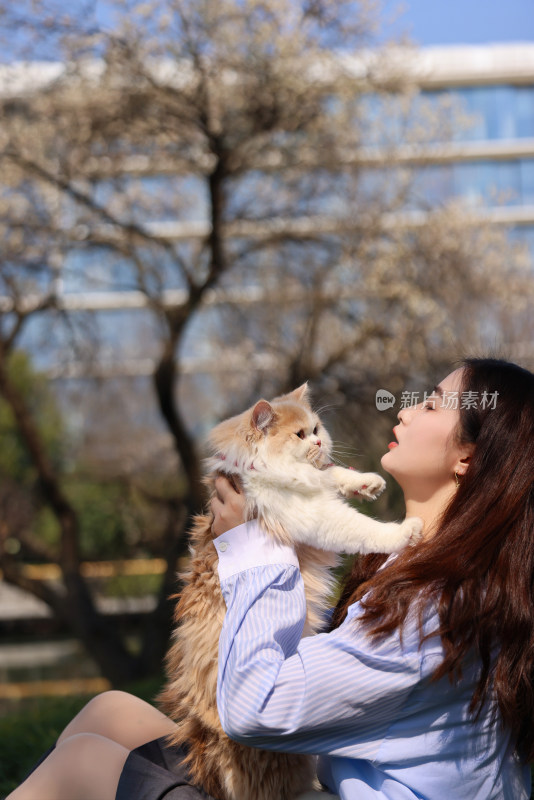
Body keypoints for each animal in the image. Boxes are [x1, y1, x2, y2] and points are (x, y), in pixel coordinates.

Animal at [159, 384, 422, 796]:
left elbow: (332, 474)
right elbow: (363, 527)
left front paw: (365, 482)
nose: (318, 440)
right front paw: (403, 532)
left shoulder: (316, 487)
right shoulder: (314, 516)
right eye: (299, 435)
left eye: (316, 428)